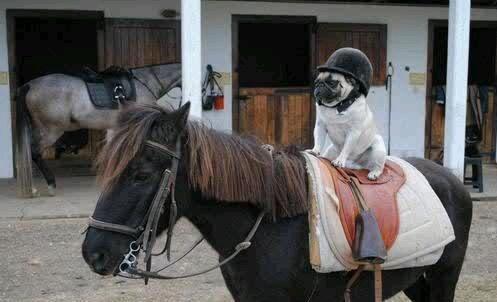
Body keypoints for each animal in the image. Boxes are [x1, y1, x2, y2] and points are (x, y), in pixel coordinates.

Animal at [81, 102, 468, 300]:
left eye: (141, 175)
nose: (93, 253)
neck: (271, 226)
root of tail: (451, 178)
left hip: (444, 278)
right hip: (415, 281)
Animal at [312, 47, 386, 179]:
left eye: (332, 83)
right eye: (316, 82)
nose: (319, 85)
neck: (337, 106)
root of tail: (355, 164)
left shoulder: (353, 133)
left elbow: (346, 148)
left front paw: (339, 160)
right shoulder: (320, 126)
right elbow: (319, 140)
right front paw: (315, 151)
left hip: (378, 148)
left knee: (378, 166)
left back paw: (374, 173)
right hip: (331, 150)